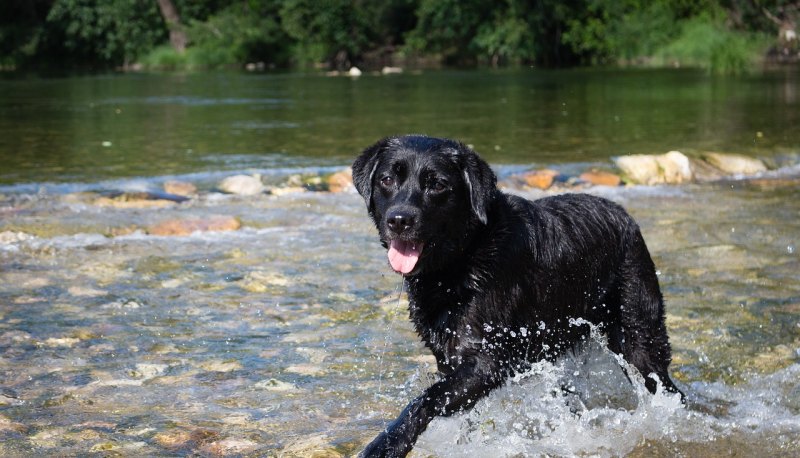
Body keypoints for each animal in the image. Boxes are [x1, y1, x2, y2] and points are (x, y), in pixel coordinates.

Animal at [354, 134, 684, 456]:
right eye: (387, 179)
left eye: (437, 184)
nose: (399, 220)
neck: (464, 256)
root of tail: (627, 217)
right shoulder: (449, 355)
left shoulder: (487, 360)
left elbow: (428, 398)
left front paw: (388, 443)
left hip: (639, 337)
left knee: (666, 386)